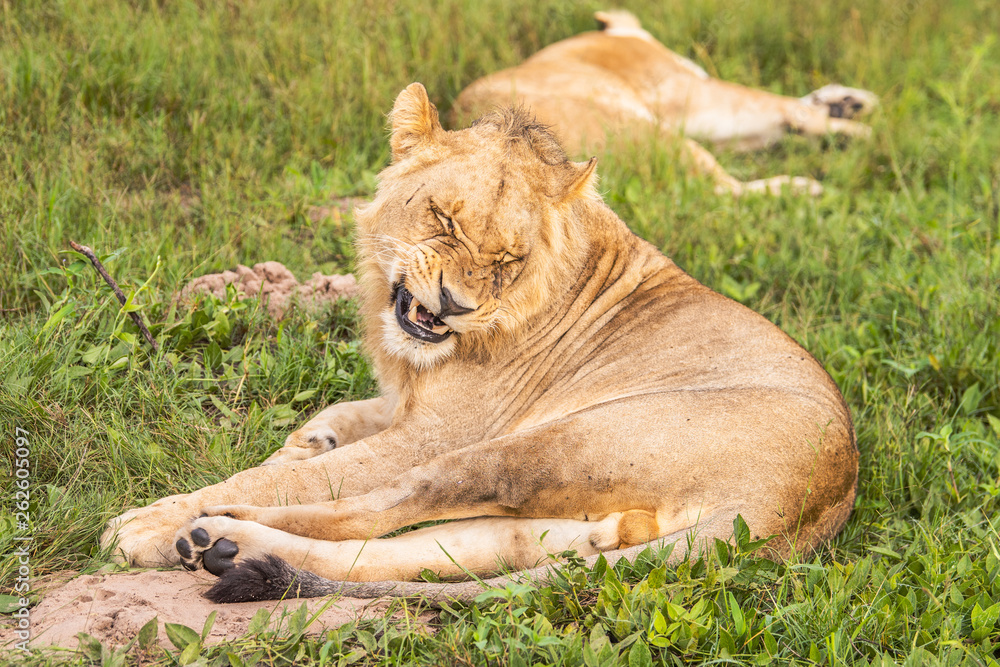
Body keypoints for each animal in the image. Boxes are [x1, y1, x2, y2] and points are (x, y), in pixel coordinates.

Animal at [100, 83, 858, 603]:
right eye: (443, 219)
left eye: (506, 260)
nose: (455, 307)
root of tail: (807, 502)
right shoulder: (410, 401)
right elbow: (344, 417)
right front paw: (312, 435)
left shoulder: (438, 430)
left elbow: (304, 476)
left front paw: (150, 521)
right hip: (551, 502)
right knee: (450, 548)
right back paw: (224, 547)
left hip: (535, 447)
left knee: (373, 507)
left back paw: (195, 527)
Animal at [453, 10, 878, 196]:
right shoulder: (694, 93)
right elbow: (783, 106)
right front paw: (856, 129)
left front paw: (848, 103)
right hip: (661, 137)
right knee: (724, 191)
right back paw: (803, 188)